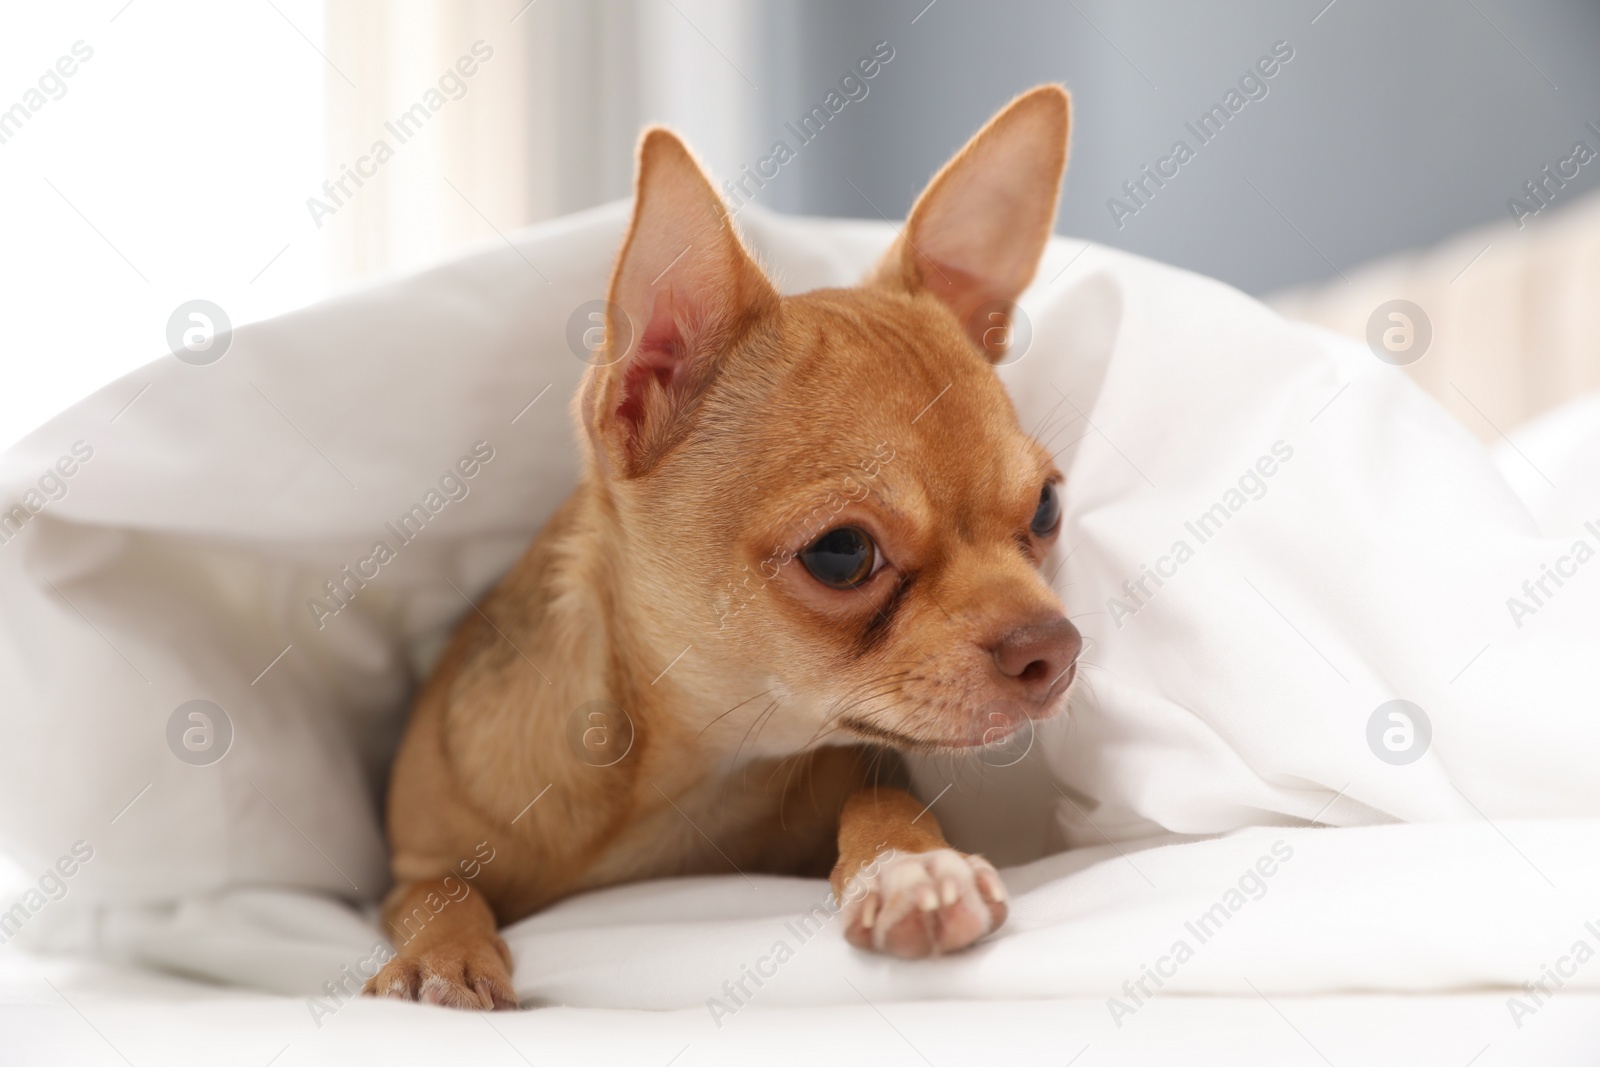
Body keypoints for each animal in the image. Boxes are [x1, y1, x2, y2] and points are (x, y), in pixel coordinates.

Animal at [368, 85, 1081, 1011]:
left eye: (1047, 507)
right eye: (842, 553)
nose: (1056, 647)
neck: (690, 777)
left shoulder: (866, 775)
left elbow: (884, 803)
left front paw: (913, 869)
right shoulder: (407, 865)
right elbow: (438, 889)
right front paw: (443, 959)